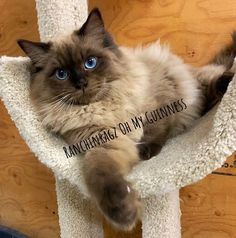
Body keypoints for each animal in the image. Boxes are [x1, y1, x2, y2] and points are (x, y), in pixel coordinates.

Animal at [17, 7, 234, 231]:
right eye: (62, 74)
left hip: (193, 83)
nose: (81, 83)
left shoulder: (158, 104)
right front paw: (123, 213)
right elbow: (100, 174)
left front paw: (146, 153)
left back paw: (227, 81)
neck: (104, 106)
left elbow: (155, 129)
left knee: (212, 85)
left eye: (90, 63)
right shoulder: (103, 142)